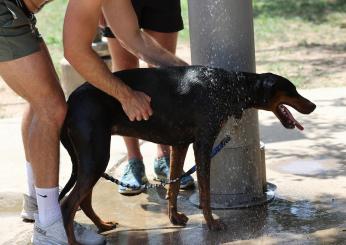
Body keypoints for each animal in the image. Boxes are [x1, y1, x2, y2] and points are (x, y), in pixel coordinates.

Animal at [60, 65, 316, 243]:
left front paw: (174, 218)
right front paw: (211, 223)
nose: (313, 106)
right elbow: (205, 191)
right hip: (96, 156)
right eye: (292, 91)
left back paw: (102, 226)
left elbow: (173, 186)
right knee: (68, 204)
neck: (228, 85)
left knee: (83, 201)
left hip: (91, 159)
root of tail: (70, 100)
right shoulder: (203, 143)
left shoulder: (180, 144)